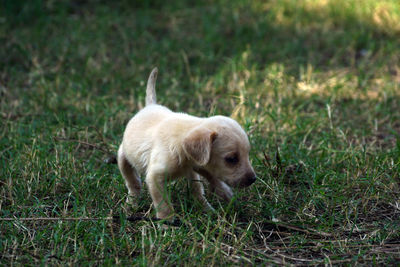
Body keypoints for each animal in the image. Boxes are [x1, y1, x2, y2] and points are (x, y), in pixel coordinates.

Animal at [119, 68, 256, 219]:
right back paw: (131, 203)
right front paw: (166, 220)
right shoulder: (155, 176)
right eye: (231, 159)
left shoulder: (199, 163)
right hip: (123, 156)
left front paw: (219, 199)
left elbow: (205, 183)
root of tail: (151, 105)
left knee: (200, 185)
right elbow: (162, 201)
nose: (253, 179)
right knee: (132, 182)